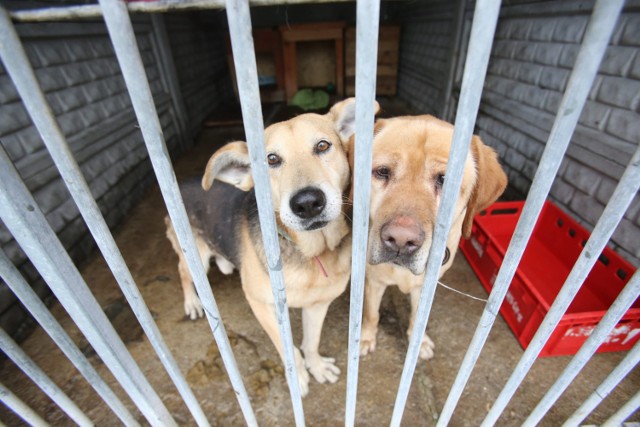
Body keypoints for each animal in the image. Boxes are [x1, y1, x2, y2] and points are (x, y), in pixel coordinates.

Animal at [166, 98, 380, 396]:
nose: (307, 203)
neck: (310, 252)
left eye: (323, 146)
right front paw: (298, 377)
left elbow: (311, 343)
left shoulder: (318, 304)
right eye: (271, 159)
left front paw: (316, 367)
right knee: (184, 273)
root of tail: (183, 183)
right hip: (194, 254)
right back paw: (193, 302)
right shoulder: (262, 305)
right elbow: (289, 350)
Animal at [358, 116, 508, 362]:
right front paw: (366, 338)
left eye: (445, 180)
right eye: (382, 172)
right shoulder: (374, 281)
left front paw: (419, 342)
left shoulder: (426, 288)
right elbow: (371, 314)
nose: (400, 240)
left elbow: (418, 318)